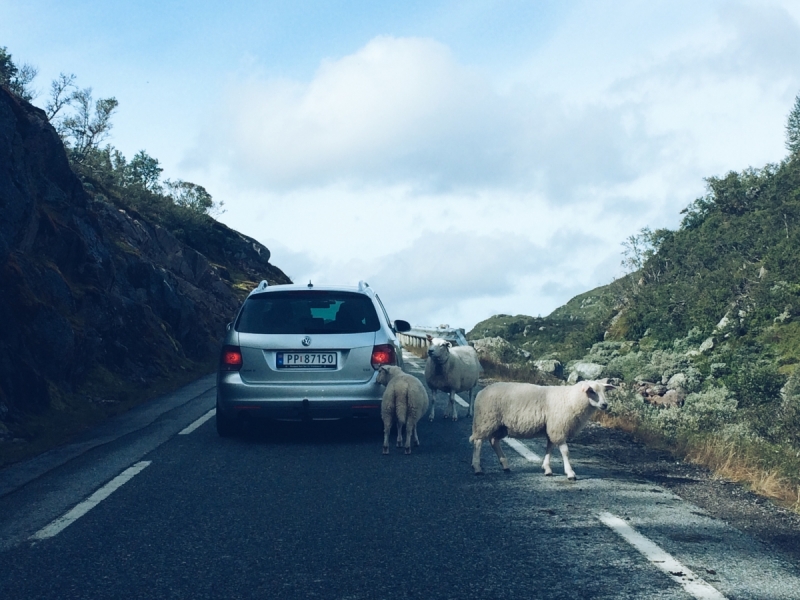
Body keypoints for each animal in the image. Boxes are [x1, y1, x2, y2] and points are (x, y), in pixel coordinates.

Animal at [468, 382, 612, 480]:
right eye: (592, 391)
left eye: (604, 391)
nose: (605, 405)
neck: (571, 399)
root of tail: (481, 392)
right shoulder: (558, 428)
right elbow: (565, 451)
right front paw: (570, 473)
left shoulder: (552, 429)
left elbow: (549, 448)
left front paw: (547, 468)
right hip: (485, 420)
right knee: (478, 442)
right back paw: (477, 467)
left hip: (501, 426)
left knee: (493, 441)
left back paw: (505, 465)